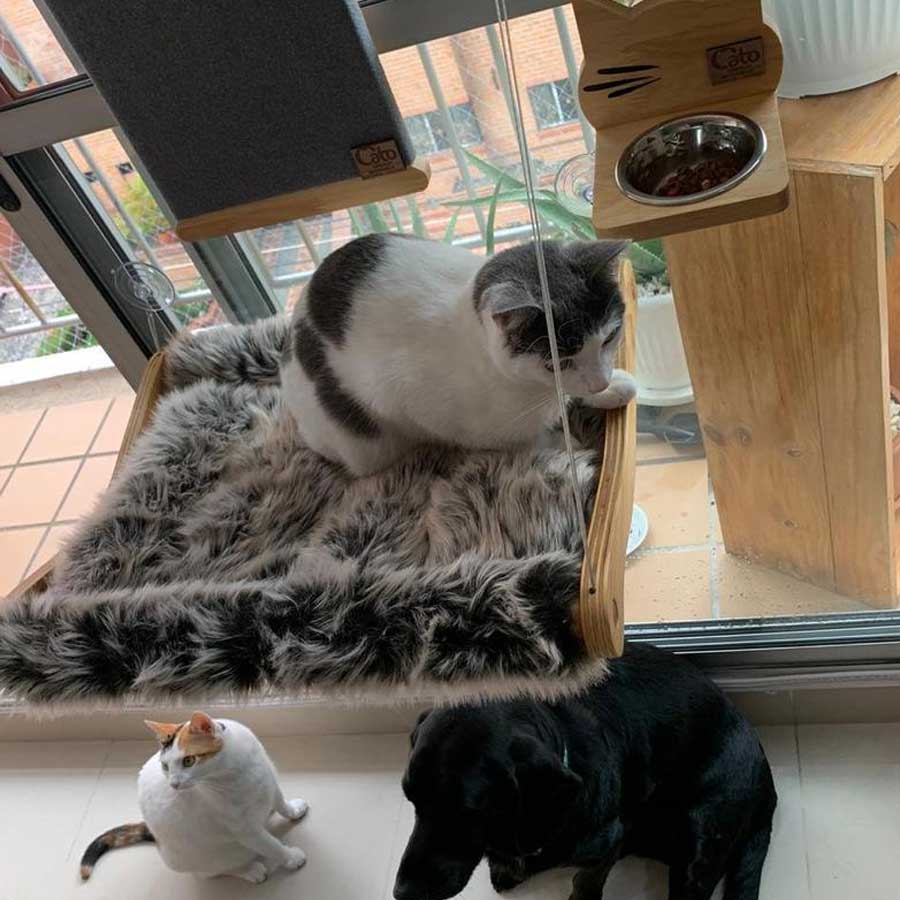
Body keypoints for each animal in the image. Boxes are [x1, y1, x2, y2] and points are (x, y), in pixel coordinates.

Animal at [80, 712, 310, 884]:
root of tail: (155, 836)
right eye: (165, 766)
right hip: (198, 858)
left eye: (189, 760)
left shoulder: (269, 782)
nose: (173, 784)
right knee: (210, 872)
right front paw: (290, 857)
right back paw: (249, 870)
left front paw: (293, 811)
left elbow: (280, 802)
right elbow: (271, 845)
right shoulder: (245, 830)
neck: (236, 769)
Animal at [284, 237, 640, 478]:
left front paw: (611, 388)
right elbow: (515, 440)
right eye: (558, 363)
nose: (600, 382)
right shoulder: (410, 397)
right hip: (362, 441)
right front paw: (564, 445)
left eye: (609, 337)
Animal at [398, 644, 776, 900]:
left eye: (467, 810)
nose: (402, 892)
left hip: (701, 841)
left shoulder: (607, 841)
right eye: (411, 798)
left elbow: (586, 881)